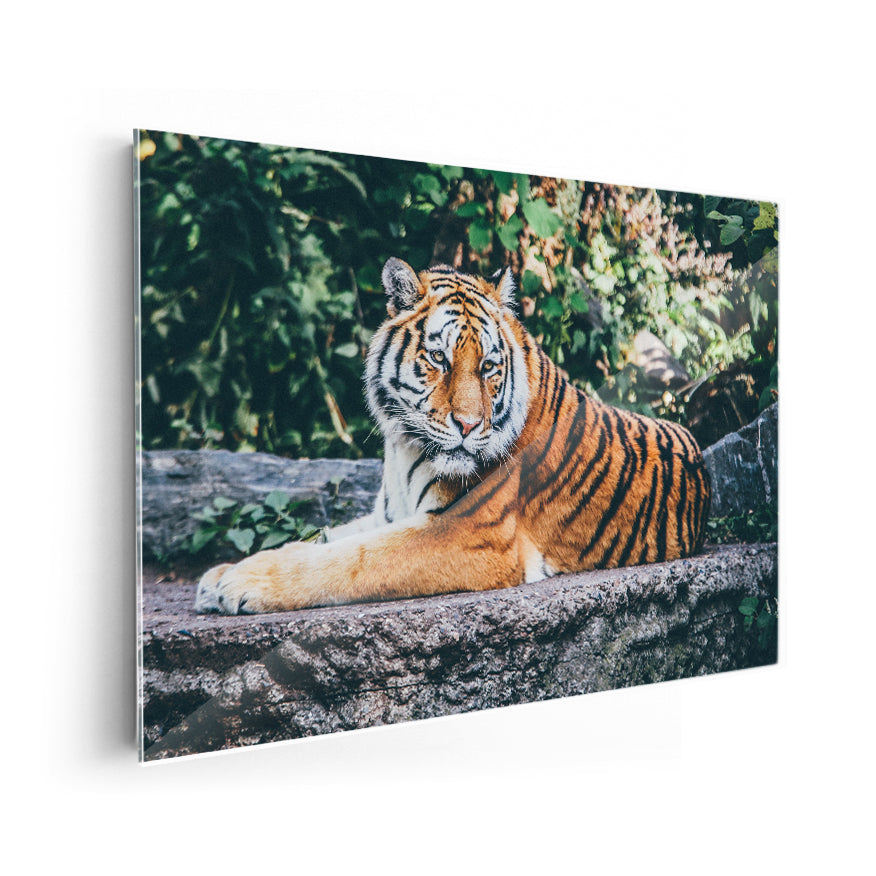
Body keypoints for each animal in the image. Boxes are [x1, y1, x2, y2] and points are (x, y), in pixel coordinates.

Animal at [195, 258, 711, 615]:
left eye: (488, 366)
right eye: (439, 358)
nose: (467, 425)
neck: (403, 447)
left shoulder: (470, 532)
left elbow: (351, 558)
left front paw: (241, 583)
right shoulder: (388, 514)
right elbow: (323, 538)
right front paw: (218, 576)